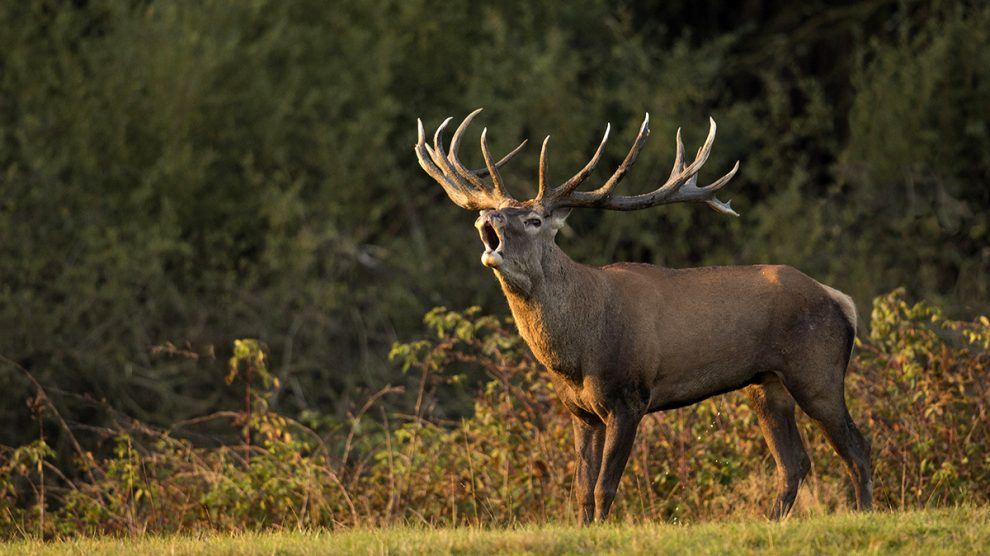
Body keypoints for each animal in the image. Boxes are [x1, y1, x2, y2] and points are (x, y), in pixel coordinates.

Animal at [413, 108, 872, 523]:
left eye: (534, 219)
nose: (486, 216)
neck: (576, 351)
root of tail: (841, 300)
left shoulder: (628, 397)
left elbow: (605, 486)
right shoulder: (579, 411)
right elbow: (581, 488)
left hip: (816, 370)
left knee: (857, 447)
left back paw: (866, 512)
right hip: (766, 384)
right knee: (793, 463)